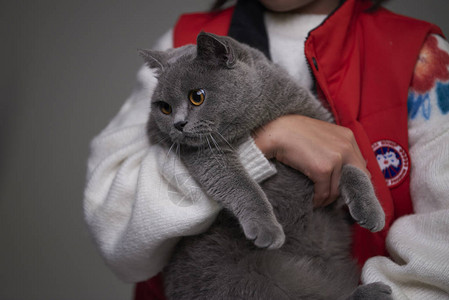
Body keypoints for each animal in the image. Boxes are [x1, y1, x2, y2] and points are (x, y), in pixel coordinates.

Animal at [140, 32, 392, 300]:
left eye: (197, 96)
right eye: (165, 107)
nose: (178, 124)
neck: (256, 118)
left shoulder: (325, 127)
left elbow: (351, 168)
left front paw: (371, 211)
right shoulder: (206, 156)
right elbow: (242, 186)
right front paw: (266, 228)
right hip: (249, 279)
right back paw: (371, 293)